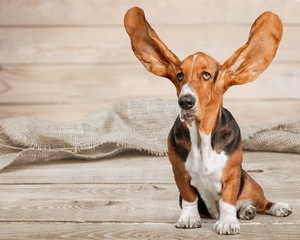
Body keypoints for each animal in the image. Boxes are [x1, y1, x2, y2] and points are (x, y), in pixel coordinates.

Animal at [123, 7, 292, 234]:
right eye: (179, 75)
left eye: (206, 75)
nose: (185, 101)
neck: (201, 135)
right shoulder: (180, 174)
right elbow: (189, 199)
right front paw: (189, 218)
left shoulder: (232, 174)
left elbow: (228, 200)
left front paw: (228, 222)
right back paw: (246, 211)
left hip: (249, 183)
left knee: (262, 202)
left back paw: (271, 207)